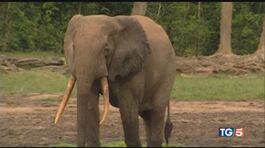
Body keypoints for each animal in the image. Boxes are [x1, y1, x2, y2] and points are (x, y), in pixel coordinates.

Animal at [53, 14, 175, 147]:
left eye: (106, 49)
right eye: (74, 47)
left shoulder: (132, 68)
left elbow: (128, 109)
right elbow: (91, 104)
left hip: (167, 74)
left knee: (156, 112)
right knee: (147, 117)